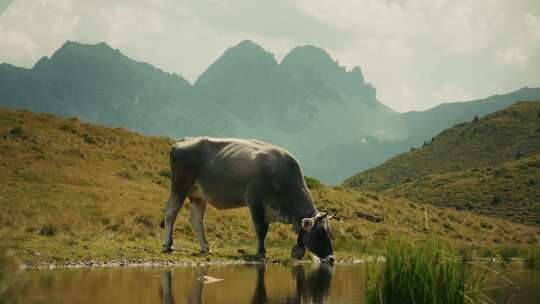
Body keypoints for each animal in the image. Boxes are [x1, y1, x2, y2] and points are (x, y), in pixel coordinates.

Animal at [160, 137, 336, 262]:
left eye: (330, 233)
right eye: (320, 233)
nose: (331, 258)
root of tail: (183, 140)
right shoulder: (255, 201)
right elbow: (261, 230)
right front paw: (261, 253)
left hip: (198, 195)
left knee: (196, 220)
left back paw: (205, 247)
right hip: (179, 186)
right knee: (170, 213)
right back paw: (168, 245)